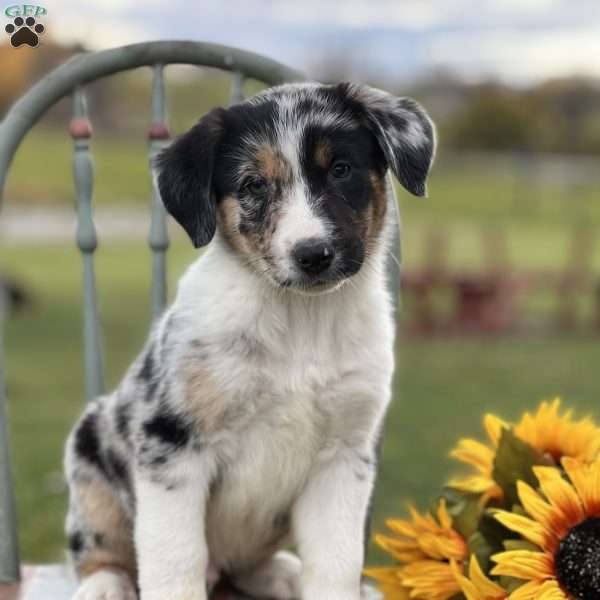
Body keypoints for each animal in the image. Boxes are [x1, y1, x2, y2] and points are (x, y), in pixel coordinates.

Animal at [63, 81, 434, 600]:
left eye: (341, 169)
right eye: (254, 184)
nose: (312, 254)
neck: (301, 321)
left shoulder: (343, 456)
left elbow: (336, 563)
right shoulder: (171, 445)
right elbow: (176, 560)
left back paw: (283, 573)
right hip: (91, 467)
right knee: (101, 553)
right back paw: (104, 587)